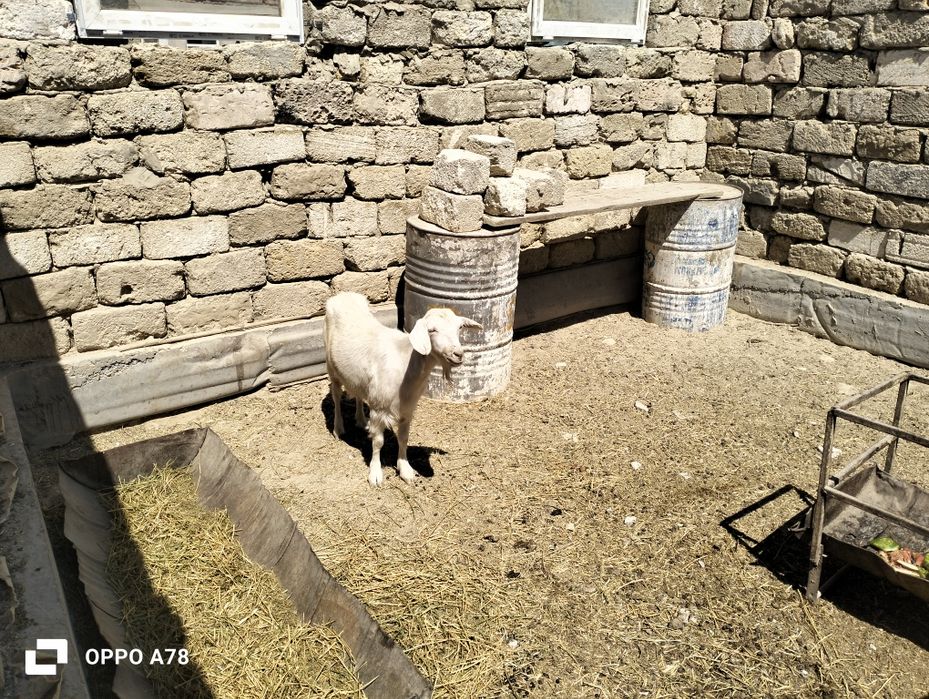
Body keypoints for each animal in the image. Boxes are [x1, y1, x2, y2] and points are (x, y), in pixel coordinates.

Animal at [324, 292, 481, 487]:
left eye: (459, 328)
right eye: (432, 330)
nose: (458, 354)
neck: (405, 362)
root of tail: (342, 295)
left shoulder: (407, 409)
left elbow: (404, 438)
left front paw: (405, 469)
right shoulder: (378, 408)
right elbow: (378, 442)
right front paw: (375, 473)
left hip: (358, 377)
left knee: (359, 394)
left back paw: (361, 420)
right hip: (331, 368)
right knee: (337, 397)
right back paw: (338, 429)